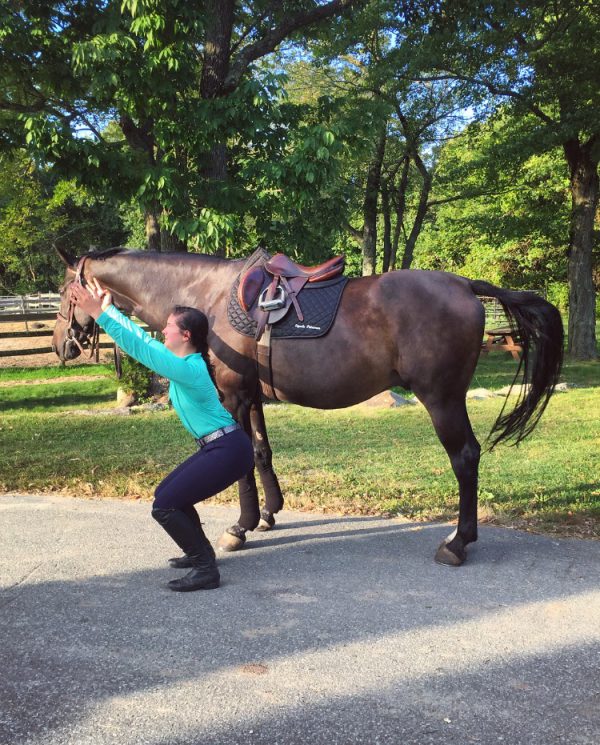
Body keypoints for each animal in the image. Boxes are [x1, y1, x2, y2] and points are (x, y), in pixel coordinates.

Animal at [51, 247, 564, 568]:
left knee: (465, 458)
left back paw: (458, 543)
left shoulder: (232, 394)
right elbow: (260, 453)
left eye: (64, 292)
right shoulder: (253, 396)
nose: (61, 345)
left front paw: (240, 527)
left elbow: (241, 464)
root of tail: (464, 285)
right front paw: (268, 514)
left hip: (442, 399)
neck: (208, 296)